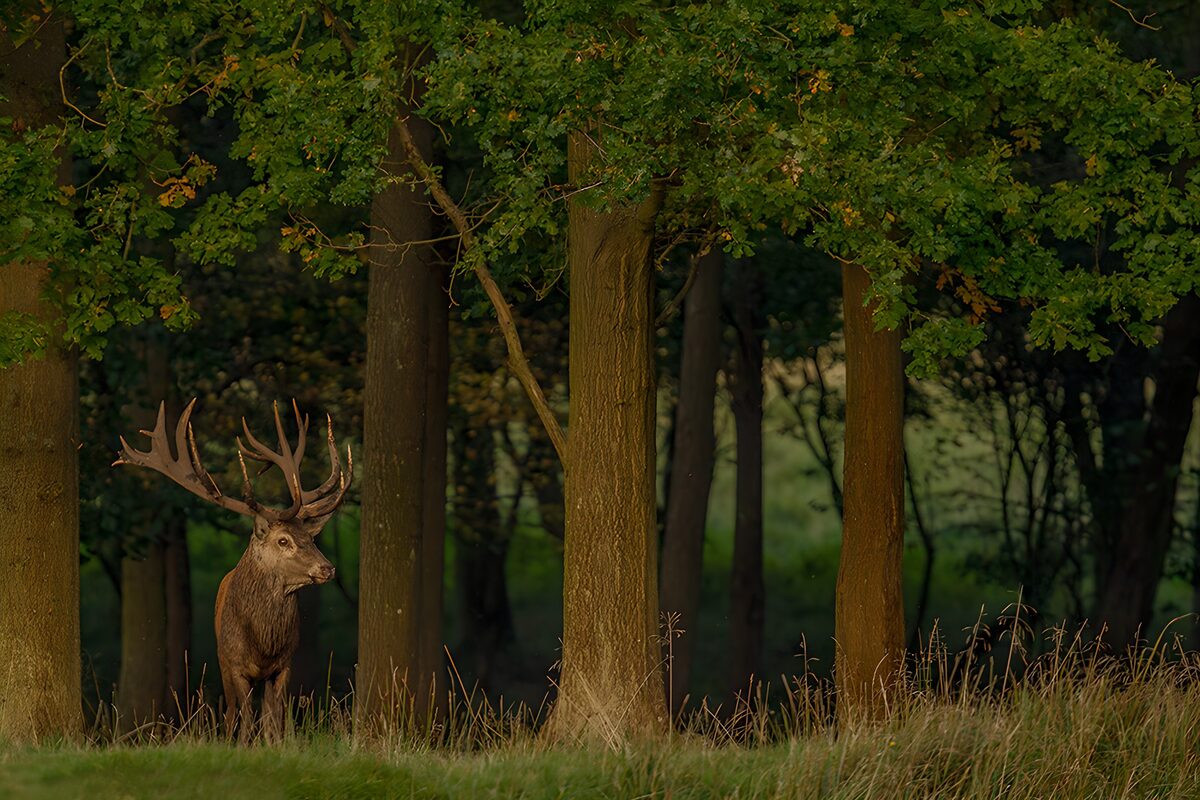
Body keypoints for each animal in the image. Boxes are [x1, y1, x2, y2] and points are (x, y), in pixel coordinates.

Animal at [114, 398, 352, 743]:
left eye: (311, 538)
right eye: (283, 540)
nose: (328, 568)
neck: (264, 644)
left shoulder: (284, 665)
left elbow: (275, 721)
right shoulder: (234, 664)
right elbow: (246, 720)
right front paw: (240, 746)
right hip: (222, 662)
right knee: (231, 713)